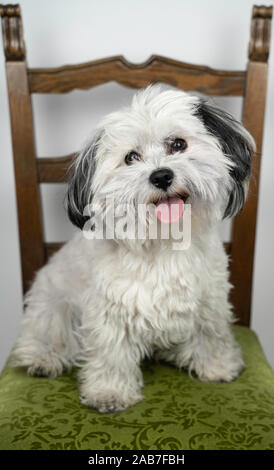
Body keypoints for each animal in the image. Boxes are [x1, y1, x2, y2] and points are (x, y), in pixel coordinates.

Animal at [10, 86, 255, 414]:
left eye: (178, 144)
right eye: (131, 158)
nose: (161, 176)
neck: (163, 240)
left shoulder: (209, 301)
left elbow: (212, 334)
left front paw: (217, 366)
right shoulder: (109, 312)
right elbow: (111, 354)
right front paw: (109, 392)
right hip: (52, 308)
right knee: (45, 336)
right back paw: (43, 359)